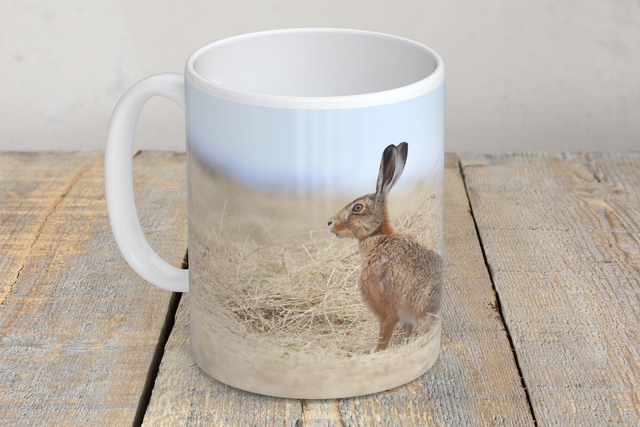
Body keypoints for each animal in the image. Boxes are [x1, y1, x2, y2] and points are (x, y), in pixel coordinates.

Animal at [328, 142, 442, 351]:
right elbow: (406, 332)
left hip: (424, 311)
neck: (377, 235)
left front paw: (375, 352)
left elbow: (384, 334)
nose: (330, 223)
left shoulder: (386, 311)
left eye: (357, 207)